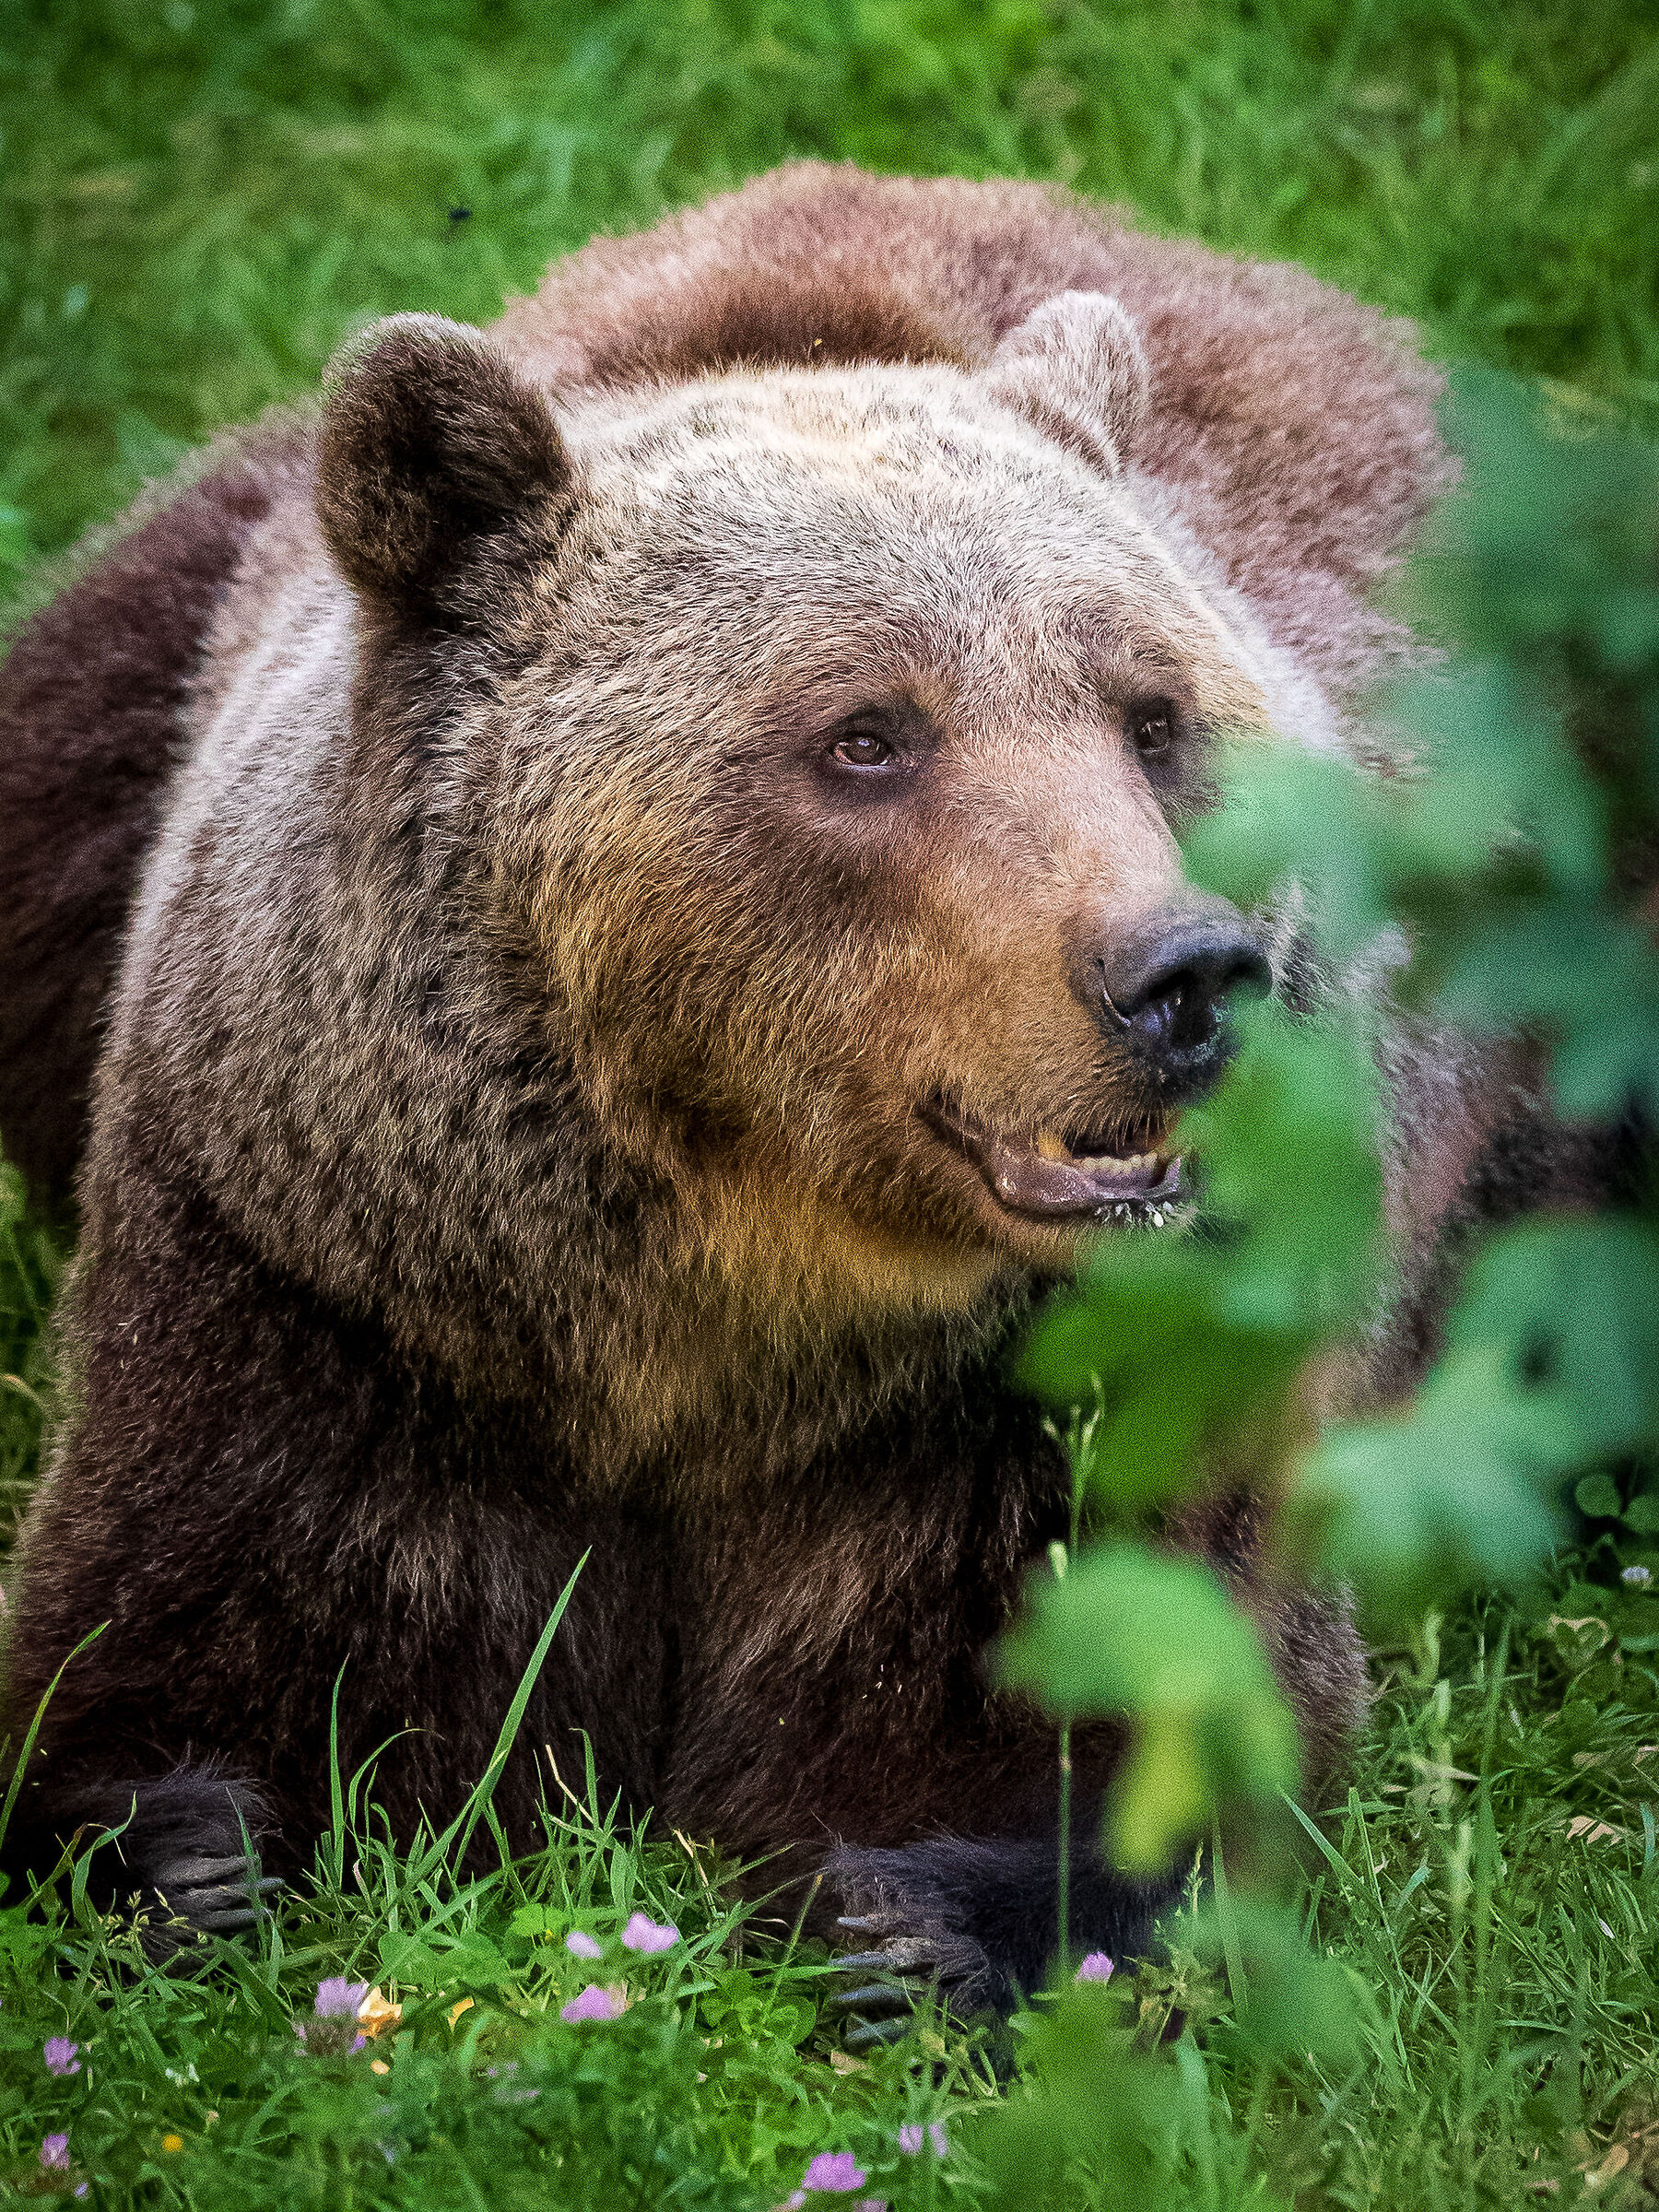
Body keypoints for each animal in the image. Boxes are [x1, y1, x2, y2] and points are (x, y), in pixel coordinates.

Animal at [0, 163, 1467, 2019]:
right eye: (867, 735)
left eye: (1151, 715)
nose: (1184, 977)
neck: (705, 1299)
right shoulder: (321, 1282)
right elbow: (176, 1635)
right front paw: (184, 1859)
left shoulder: (1054, 1383)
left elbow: (1105, 1672)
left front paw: (918, 1925)